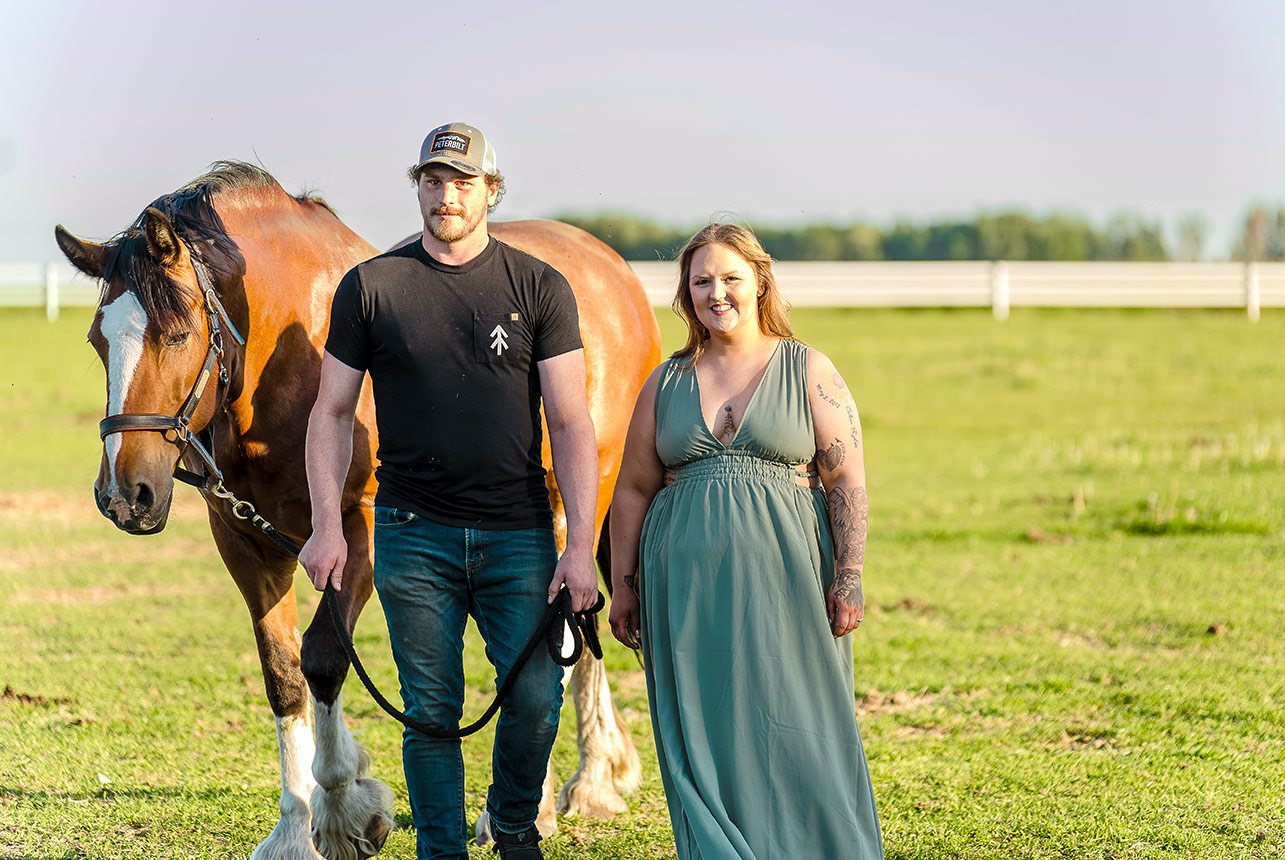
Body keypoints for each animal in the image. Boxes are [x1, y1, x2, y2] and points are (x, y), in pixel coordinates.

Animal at [53, 161, 660, 859]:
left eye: (177, 334)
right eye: (97, 341)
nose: (125, 495)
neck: (292, 357)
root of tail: (609, 265)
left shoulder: (364, 526)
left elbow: (322, 656)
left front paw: (345, 808)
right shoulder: (245, 541)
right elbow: (284, 673)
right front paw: (296, 827)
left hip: (571, 508)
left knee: (549, 643)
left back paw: (535, 803)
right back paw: (596, 777)